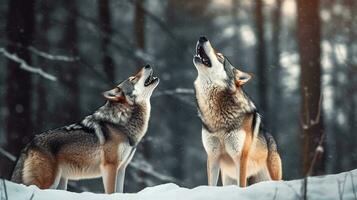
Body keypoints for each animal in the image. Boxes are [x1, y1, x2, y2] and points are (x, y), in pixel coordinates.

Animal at [11, 65, 159, 193]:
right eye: (132, 79)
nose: (147, 65)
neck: (121, 123)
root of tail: (29, 145)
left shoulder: (121, 168)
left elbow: (118, 192)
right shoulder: (109, 166)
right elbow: (110, 192)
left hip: (60, 183)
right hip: (48, 183)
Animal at [192, 36, 280, 188]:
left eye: (220, 56)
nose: (202, 37)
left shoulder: (240, 157)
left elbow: (241, 185)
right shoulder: (212, 156)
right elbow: (211, 185)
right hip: (228, 179)